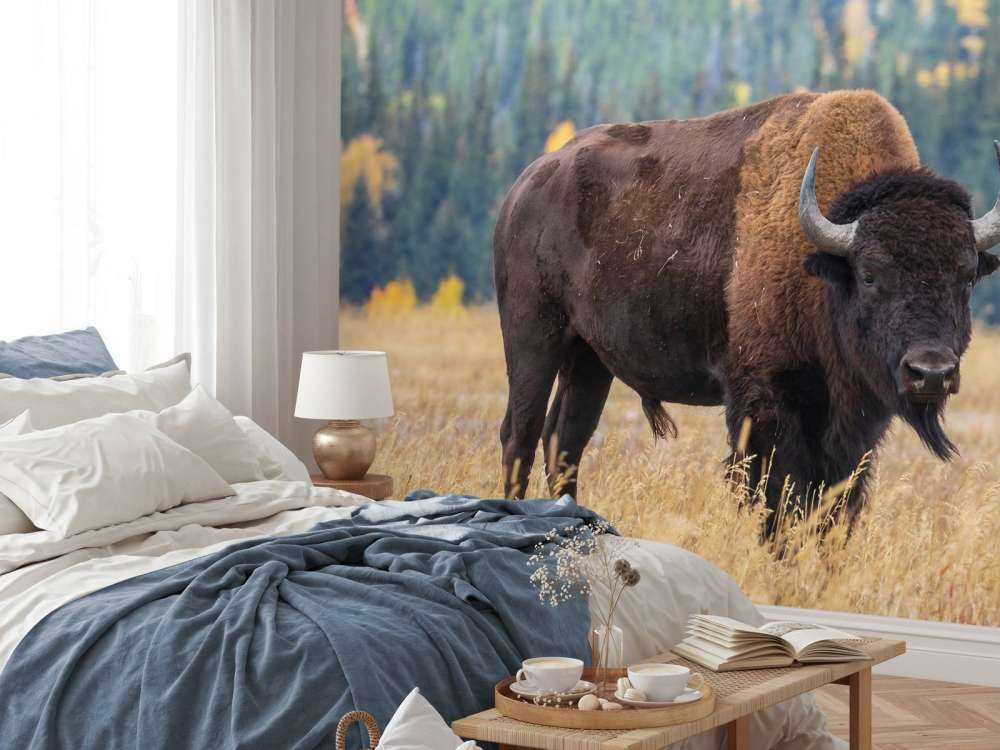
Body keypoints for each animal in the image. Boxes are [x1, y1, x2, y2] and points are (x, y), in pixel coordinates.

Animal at [494, 90, 1000, 537]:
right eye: (870, 274)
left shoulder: (853, 426)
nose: (931, 372)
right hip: (533, 338)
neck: (825, 264)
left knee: (565, 440)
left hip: (590, 359)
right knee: (521, 433)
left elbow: (836, 505)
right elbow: (780, 496)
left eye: (967, 276)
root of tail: (525, 184)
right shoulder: (764, 404)